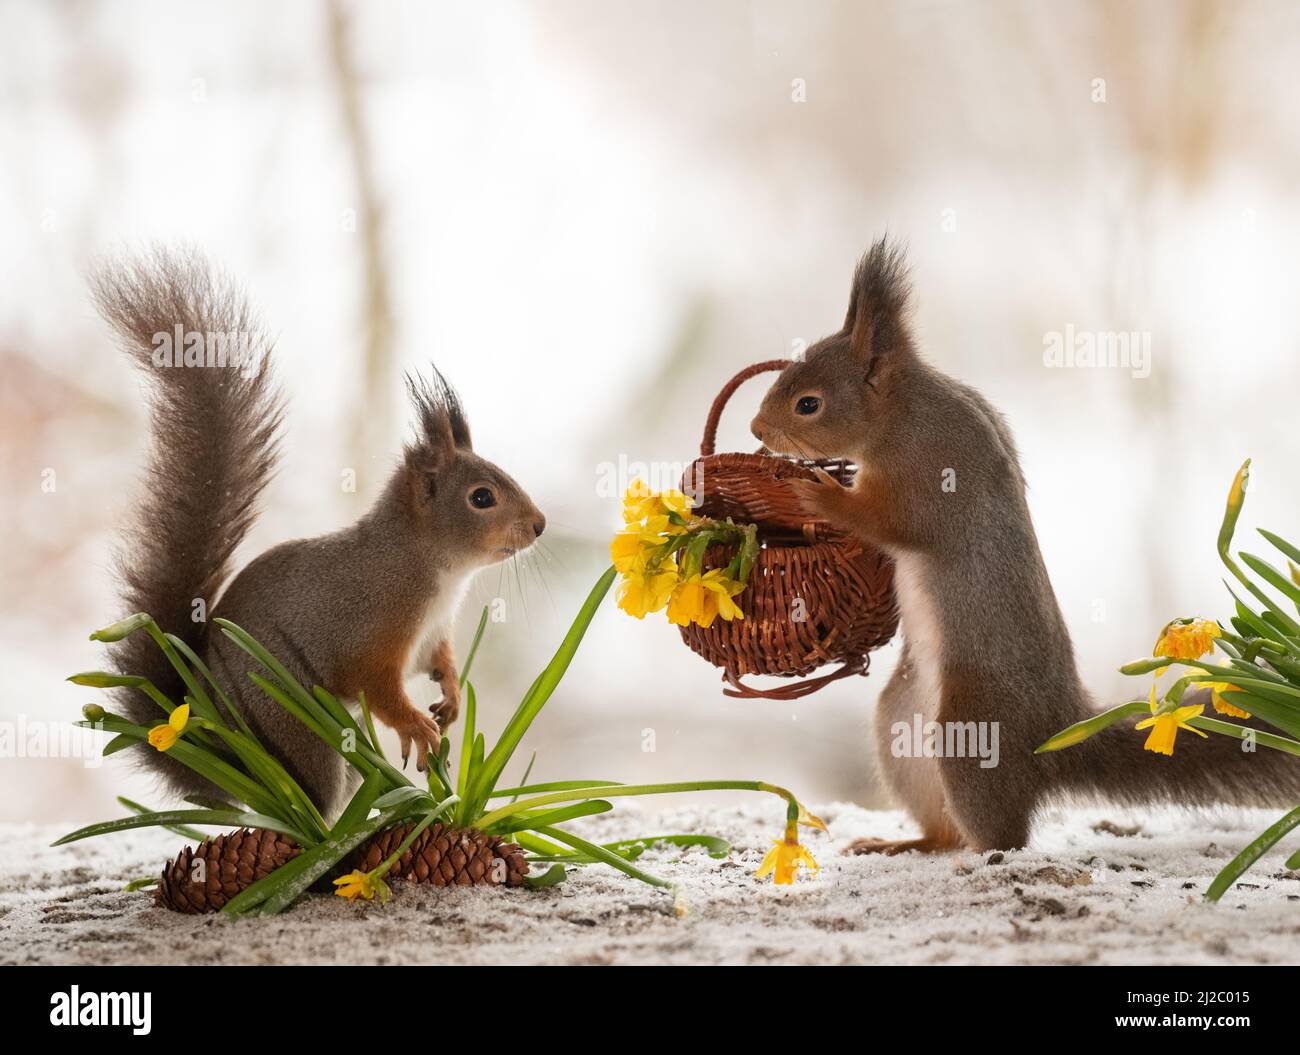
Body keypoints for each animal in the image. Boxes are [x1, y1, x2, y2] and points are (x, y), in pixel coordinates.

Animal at [92, 248, 545, 815]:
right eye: (482, 497)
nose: (539, 526)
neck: (433, 567)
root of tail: (221, 751)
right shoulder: (370, 626)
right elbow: (377, 687)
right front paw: (418, 728)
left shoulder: (431, 634)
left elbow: (437, 662)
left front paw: (452, 699)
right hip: (294, 727)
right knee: (312, 801)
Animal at [750, 237, 1300, 854]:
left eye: (808, 404)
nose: (756, 430)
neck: (900, 413)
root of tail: (1050, 739)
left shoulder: (933, 471)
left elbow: (893, 521)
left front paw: (816, 493)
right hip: (899, 718)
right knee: (943, 829)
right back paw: (906, 843)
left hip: (971, 728)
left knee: (1004, 835)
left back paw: (980, 854)